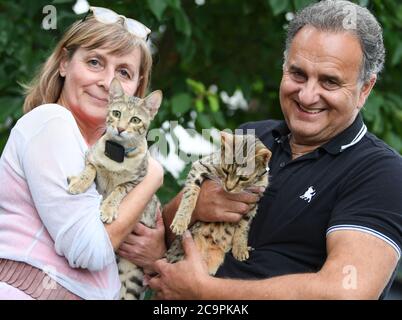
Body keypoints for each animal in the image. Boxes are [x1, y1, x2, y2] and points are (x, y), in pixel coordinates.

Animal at [67, 78, 162, 300]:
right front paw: (78, 182)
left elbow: (118, 190)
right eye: (117, 113)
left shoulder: (136, 180)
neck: (117, 155)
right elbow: (90, 170)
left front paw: (108, 209)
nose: (120, 128)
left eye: (135, 120)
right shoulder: (91, 158)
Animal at [165, 132, 272, 276]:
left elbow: (244, 226)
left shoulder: (254, 200)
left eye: (243, 178)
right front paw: (180, 221)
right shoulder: (200, 166)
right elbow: (190, 193)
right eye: (225, 171)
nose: (229, 188)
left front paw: (240, 247)